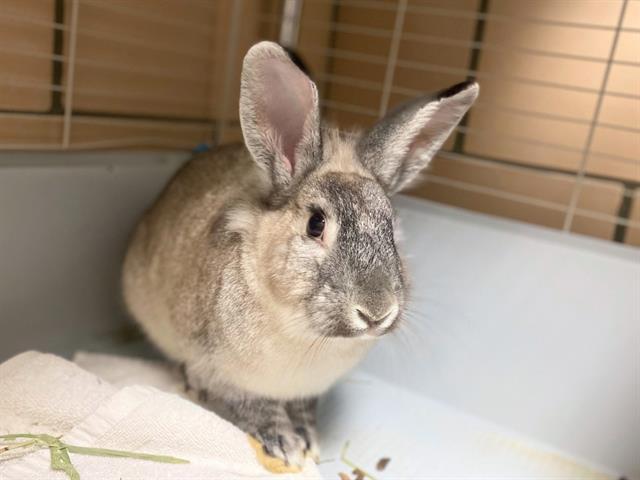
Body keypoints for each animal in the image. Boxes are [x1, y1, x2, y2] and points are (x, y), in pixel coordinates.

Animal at [122, 41, 478, 467]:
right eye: (315, 224)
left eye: (391, 225)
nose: (376, 312)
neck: (303, 330)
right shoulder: (223, 374)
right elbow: (255, 407)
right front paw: (286, 447)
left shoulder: (307, 391)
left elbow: (302, 410)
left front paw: (308, 440)